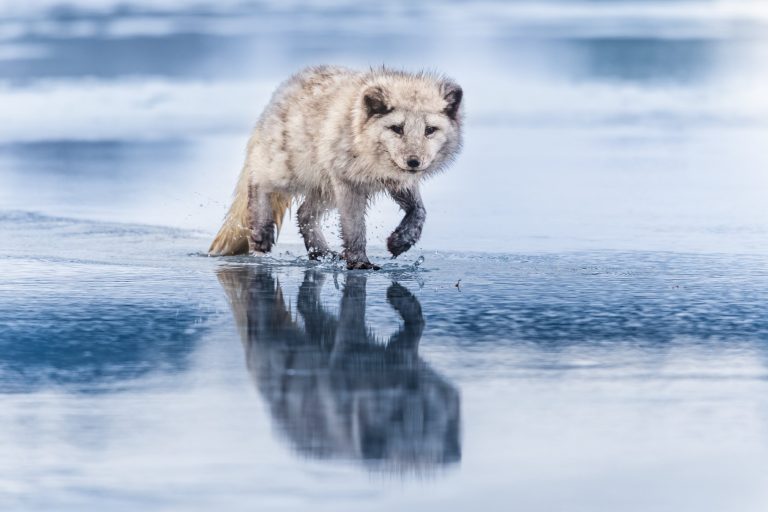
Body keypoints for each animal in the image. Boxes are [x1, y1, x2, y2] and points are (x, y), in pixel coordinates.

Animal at [207, 66, 464, 270]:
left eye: (429, 130)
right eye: (397, 128)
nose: (414, 162)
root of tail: (281, 92)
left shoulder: (398, 182)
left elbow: (419, 211)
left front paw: (401, 241)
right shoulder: (349, 183)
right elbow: (355, 229)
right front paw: (360, 263)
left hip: (326, 189)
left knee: (303, 213)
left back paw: (320, 252)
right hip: (291, 173)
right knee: (257, 178)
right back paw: (261, 233)